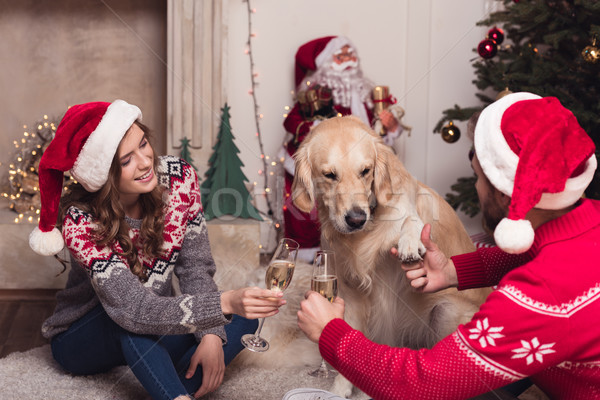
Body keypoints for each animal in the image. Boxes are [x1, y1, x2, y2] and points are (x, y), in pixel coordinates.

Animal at [292, 115, 490, 396]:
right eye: (329, 175)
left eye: (366, 171)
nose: (356, 219)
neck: (367, 231)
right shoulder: (350, 291)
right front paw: (340, 390)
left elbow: (411, 221)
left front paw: (410, 241)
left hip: (446, 311)